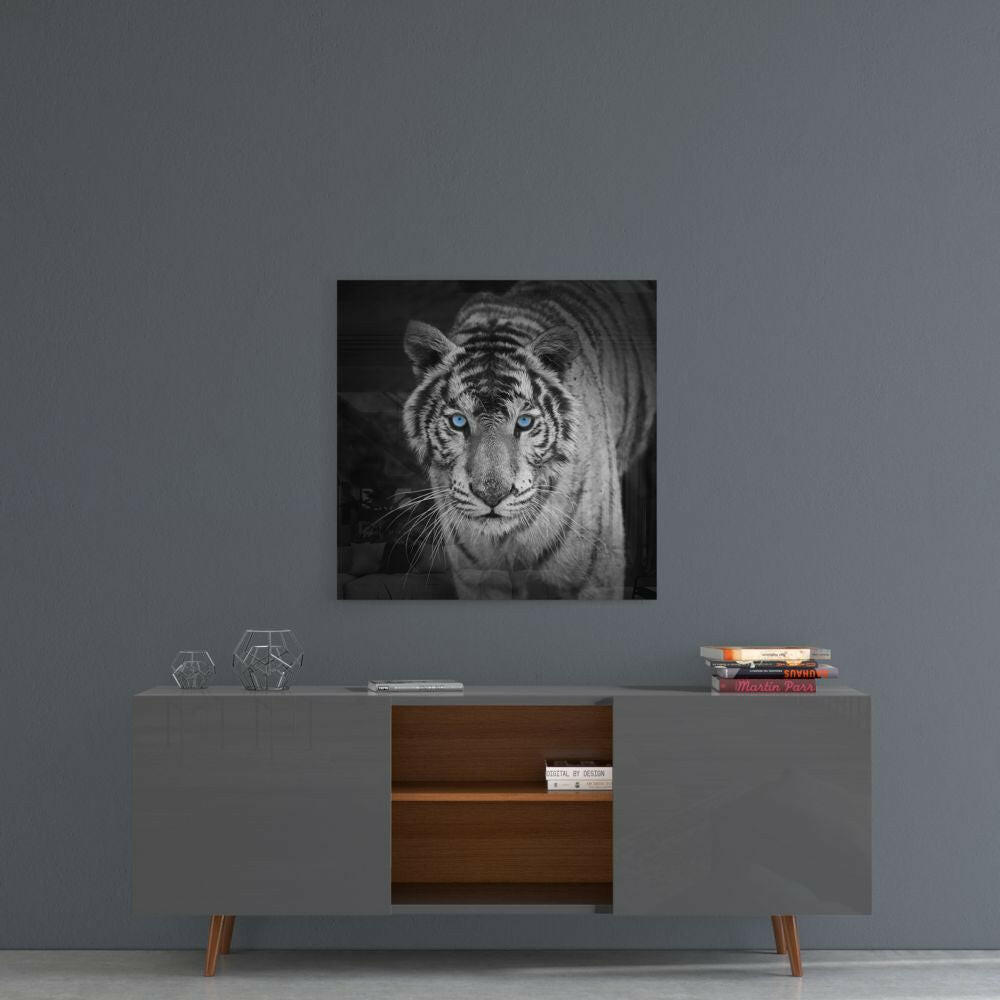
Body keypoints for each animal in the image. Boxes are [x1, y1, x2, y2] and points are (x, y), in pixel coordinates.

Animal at [401, 281, 656, 599]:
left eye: (524, 422)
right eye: (459, 421)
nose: (491, 496)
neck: (506, 538)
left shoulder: (596, 578)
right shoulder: (478, 580)